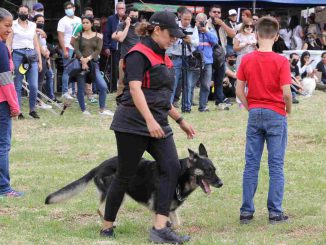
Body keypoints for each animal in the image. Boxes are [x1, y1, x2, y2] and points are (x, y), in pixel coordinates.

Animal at [44, 144, 223, 226]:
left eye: (215, 169)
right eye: (208, 170)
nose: (221, 183)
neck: (180, 177)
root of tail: (99, 166)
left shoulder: (170, 210)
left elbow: (176, 224)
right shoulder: (158, 207)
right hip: (116, 192)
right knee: (101, 209)